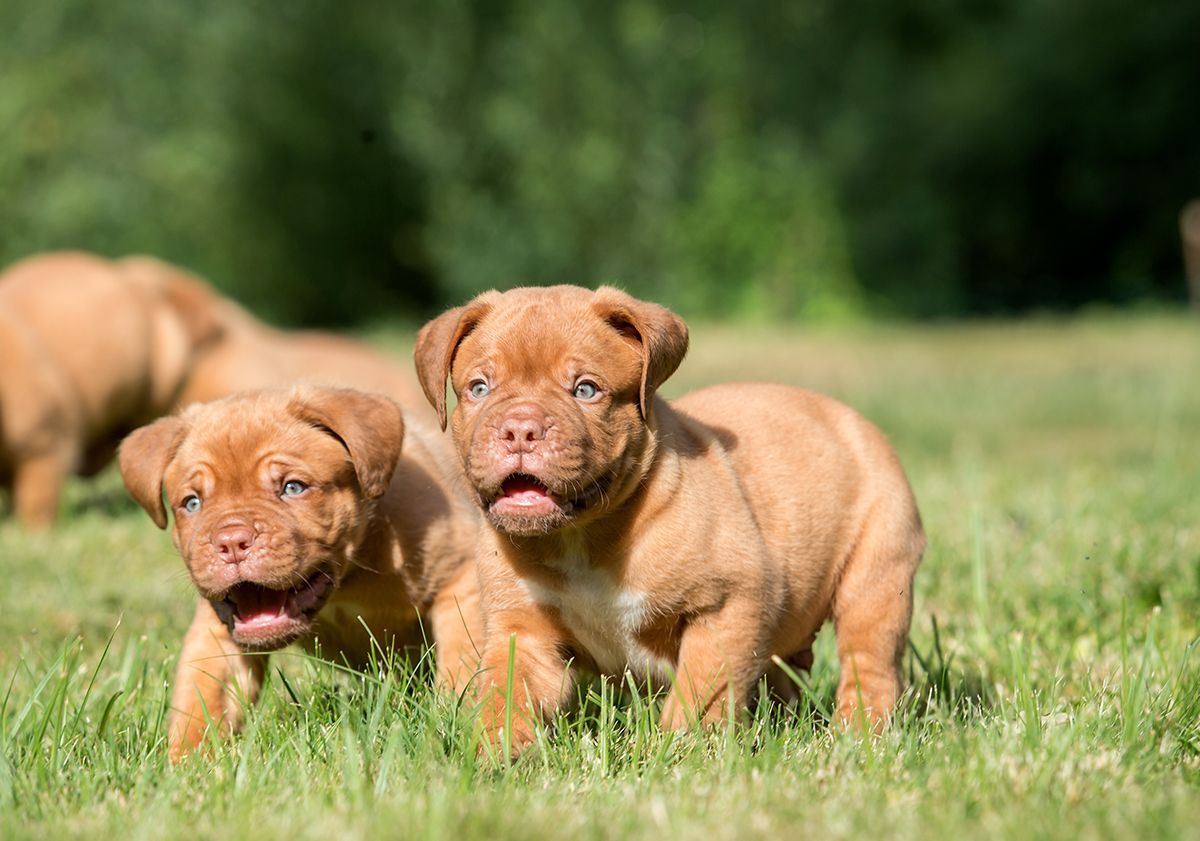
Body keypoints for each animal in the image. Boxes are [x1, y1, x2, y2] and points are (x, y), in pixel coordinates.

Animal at [118, 386, 482, 763]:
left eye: (293, 487)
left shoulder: (460, 581)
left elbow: (463, 663)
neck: (344, 581)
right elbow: (200, 700)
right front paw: (185, 761)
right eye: (192, 503)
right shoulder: (217, 632)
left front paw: (456, 724)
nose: (231, 542)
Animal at [415, 286, 926, 753]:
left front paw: (682, 754)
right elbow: (506, 696)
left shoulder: (729, 605)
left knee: (869, 663)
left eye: (586, 390)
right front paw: (493, 756)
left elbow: (701, 693)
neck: (579, 538)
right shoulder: (521, 631)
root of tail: (846, 414)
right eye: (479, 389)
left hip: (878, 577)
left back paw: (859, 735)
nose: (520, 429)